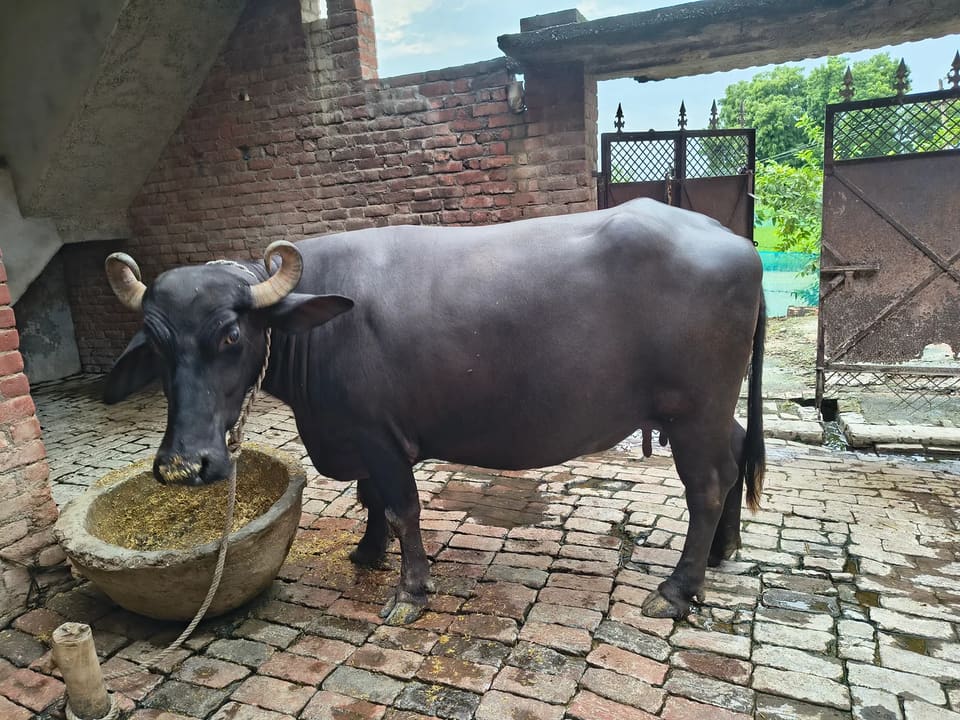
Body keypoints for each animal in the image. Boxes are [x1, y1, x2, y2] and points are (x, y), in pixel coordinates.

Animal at [103, 198, 765, 622]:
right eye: (156, 344)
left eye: (232, 334)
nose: (183, 466)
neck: (320, 327)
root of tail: (734, 240)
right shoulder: (359, 436)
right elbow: (370, 500)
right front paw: (367, 554)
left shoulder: (381, 437)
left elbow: (401, 509)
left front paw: (410, 592)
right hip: (713, 410)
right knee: (736, 454)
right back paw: (723, 552)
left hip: (692, 410)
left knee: (707, 485)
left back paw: (678, 590)